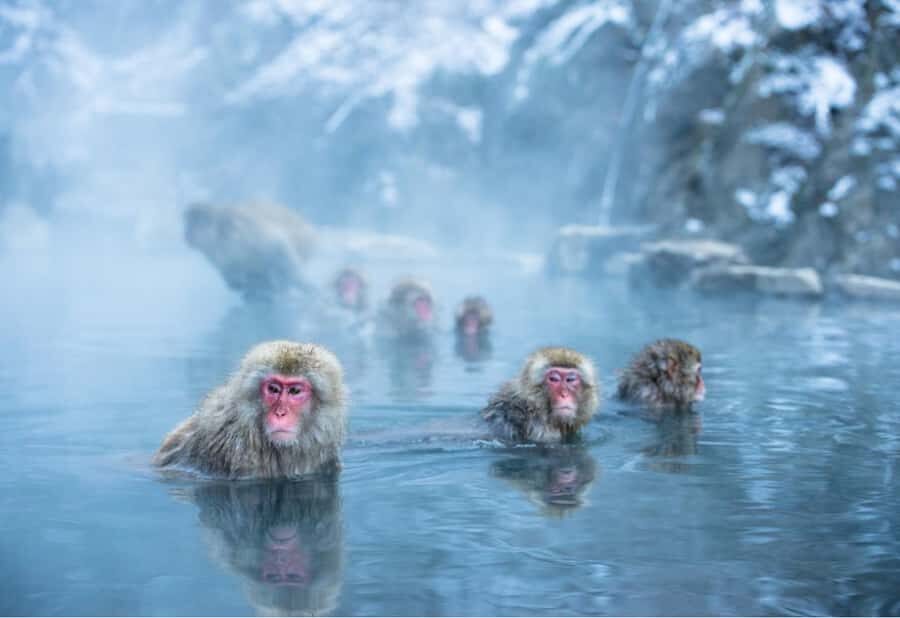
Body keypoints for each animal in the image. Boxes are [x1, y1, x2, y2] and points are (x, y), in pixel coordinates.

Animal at [184, 201, 316, 302]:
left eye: (193, 223)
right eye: (187, 224)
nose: (186, 234)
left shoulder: (242, 232)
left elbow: (277, 246)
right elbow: (232, 275)